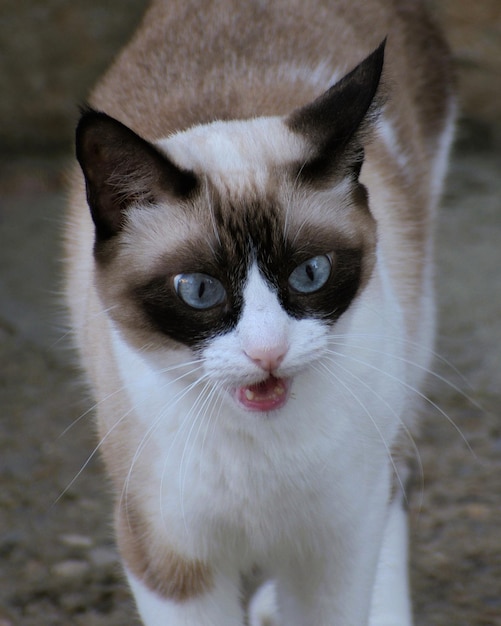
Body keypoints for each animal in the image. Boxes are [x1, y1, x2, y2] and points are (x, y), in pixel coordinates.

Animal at [64, 1, 456, 624]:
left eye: (310, 274)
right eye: (199, 290)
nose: (268, 352)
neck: (260, 449)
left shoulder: (334, 551)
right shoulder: (170, 560)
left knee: (396, 494)